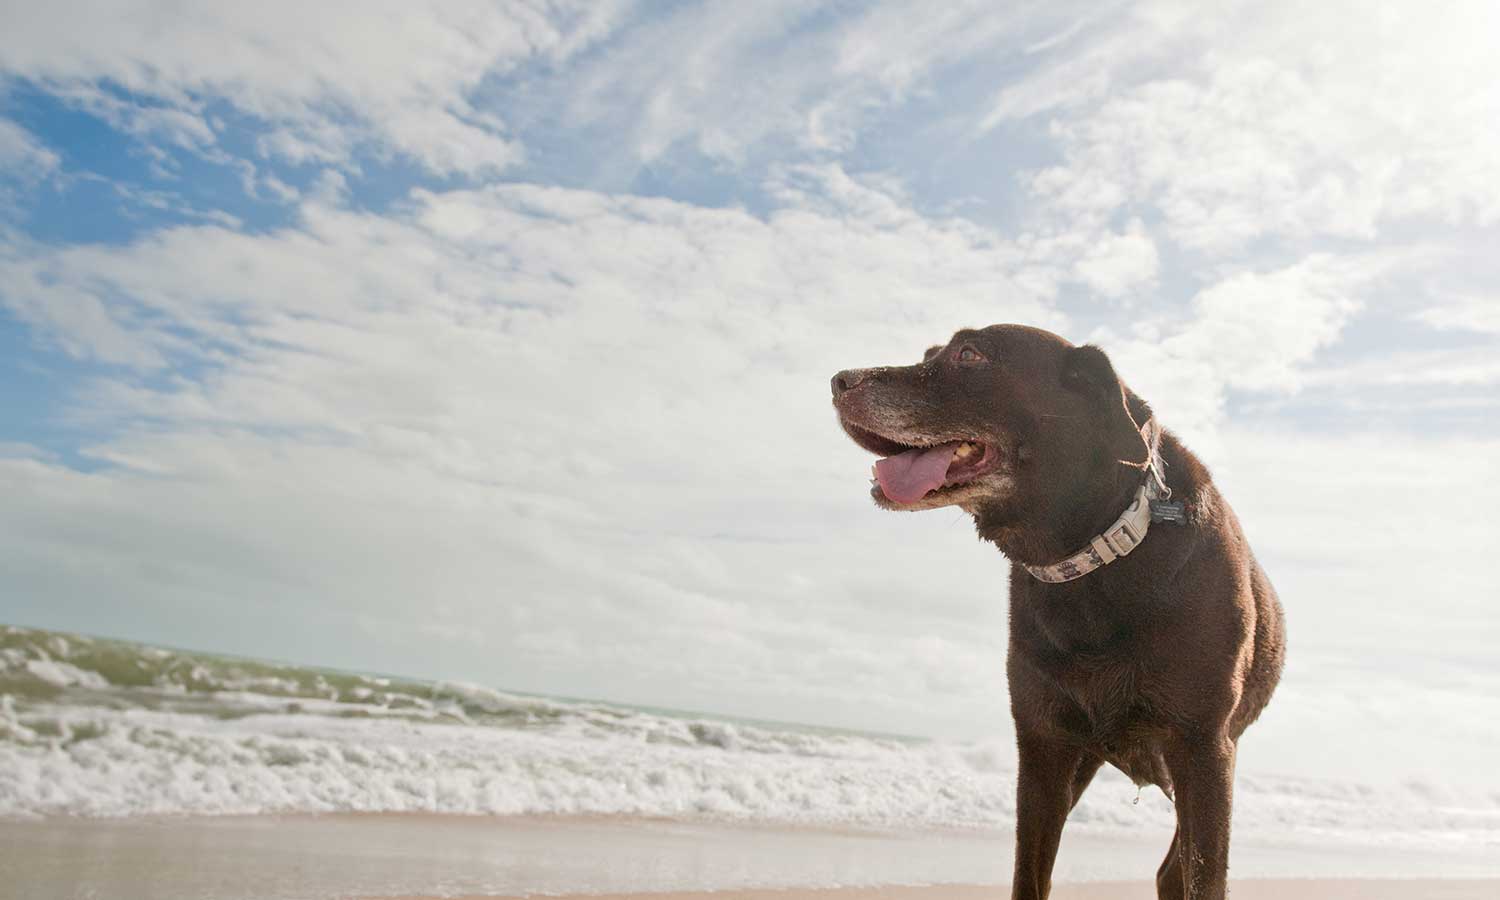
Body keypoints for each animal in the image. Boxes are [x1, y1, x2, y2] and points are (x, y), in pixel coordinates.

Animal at [828, 324, 1284, 900]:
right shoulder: (1043, 748)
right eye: (929, 353)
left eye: (969, 355)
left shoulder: (1204, 748)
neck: (1096, 557)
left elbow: (1206, 878)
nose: (840, 380)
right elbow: (1030, 875)